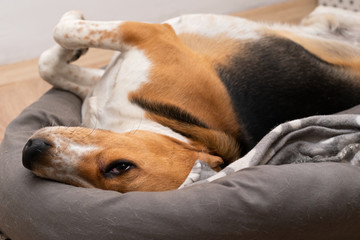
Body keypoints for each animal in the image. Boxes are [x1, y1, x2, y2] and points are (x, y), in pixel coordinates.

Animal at [21, 6, 360, 192]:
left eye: (120, 168)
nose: (29, 151)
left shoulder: (149, 34)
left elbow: (62, 29)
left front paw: (73, 22)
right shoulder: (104, 80)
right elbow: (49, 64)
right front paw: (72, 51)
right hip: (327, 16)